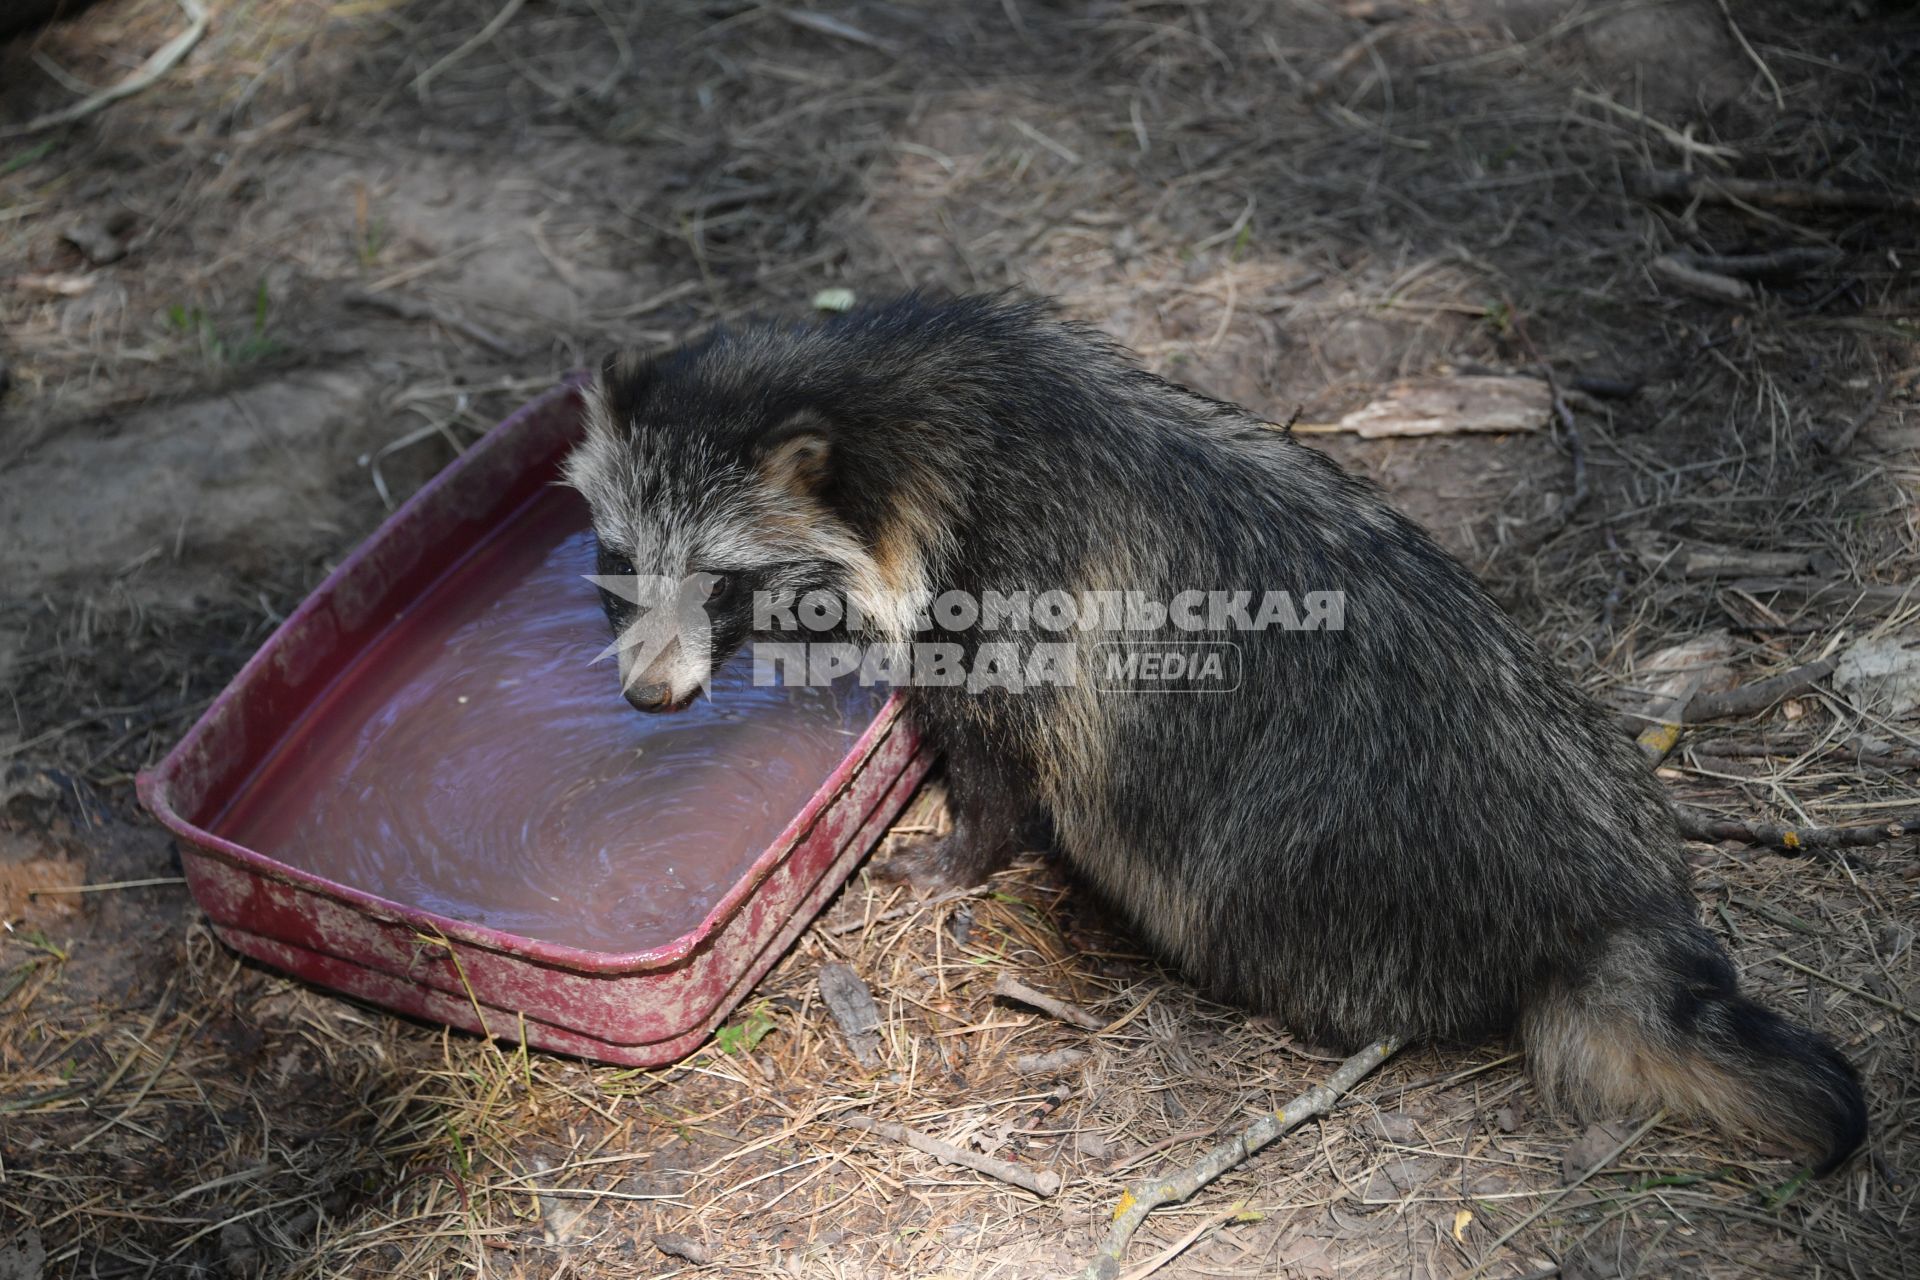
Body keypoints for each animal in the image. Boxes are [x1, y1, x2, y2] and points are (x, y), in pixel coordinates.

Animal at [560, 295, 1866, 1174]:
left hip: (1321, 860)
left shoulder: (1006, 579)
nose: (649, 698)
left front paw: (959, 849)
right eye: (618, 563)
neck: (890, 402)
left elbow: (1004, 761)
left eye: (722, 580)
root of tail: (1602, 891)